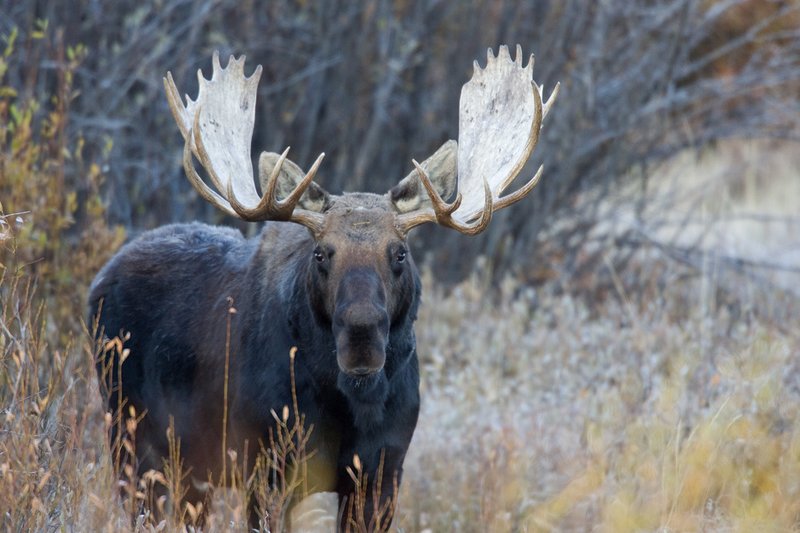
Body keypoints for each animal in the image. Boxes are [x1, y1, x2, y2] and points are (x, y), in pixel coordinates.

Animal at [88, 44, 557, 530]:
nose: (361, 336)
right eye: (321, 253)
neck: (351, 406)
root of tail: (100, 279)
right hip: (133, 442)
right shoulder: (267, 463)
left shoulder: (383, 469)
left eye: (400, 253)